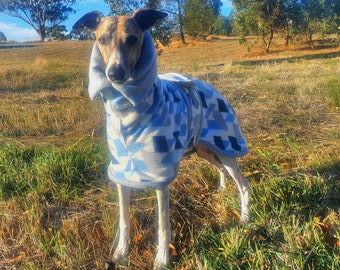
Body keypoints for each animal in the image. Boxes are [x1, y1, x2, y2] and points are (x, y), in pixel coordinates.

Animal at [73, 8, 250, 270]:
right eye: (101, 39)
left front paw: (162, 259)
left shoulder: (161, 179)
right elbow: (124, 219)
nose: (114, 74)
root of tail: (212, 89)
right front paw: (121, 252)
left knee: (243, 184)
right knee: (220, 169)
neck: (127, 111)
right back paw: (221, 188)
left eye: (132, 39)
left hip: (227, 146)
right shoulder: (121, 173)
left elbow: (163, 226)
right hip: (205, 148)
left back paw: (245, 218)